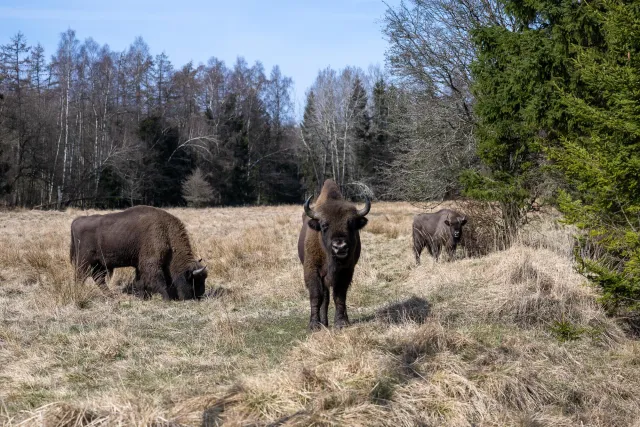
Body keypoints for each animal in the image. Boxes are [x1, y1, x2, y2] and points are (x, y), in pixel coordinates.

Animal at [71, 206, 209, 300]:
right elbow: (158, 281)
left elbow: (140, 281)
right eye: (193, 280)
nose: (200, 295)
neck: (166, 233)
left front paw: (144, 297)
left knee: (98, 278)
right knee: (81, 276)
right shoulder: (151, 263)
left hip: (99, 264)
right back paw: (80, 292)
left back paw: (110, 295)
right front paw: (167, 298)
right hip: (84, 261)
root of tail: (77, 221)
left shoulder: (140, 265)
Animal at [298, 180, 372, 332]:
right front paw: (314, 325)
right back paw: (323, 322)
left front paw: (341, 323)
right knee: (324, 298)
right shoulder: (312, 270)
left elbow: (340, 296)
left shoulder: (346, 271)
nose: (340, 247)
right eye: (324, 225)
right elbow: (316, 296)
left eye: (351, 224)